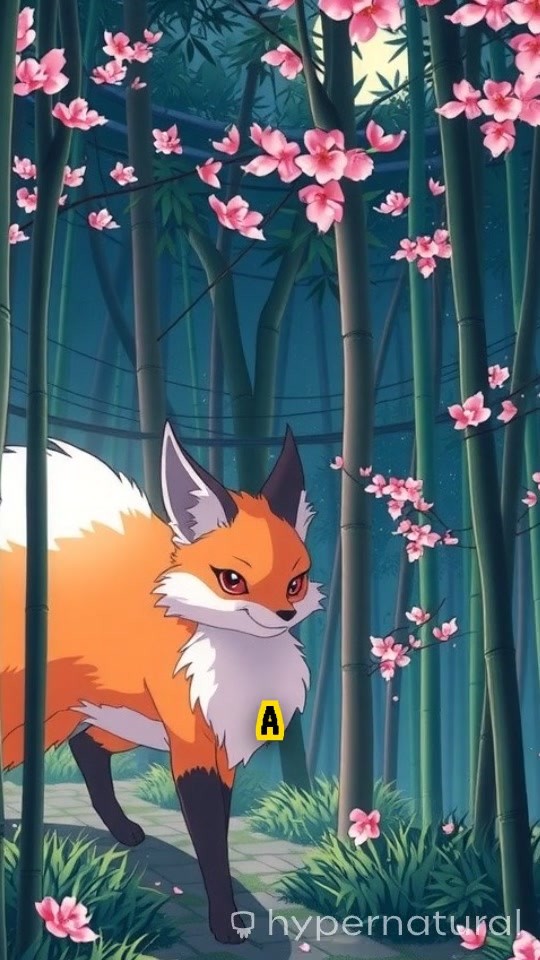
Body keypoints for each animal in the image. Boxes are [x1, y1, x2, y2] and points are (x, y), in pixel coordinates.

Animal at [0, 423, 322, 943]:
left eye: (296, 583)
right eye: (232, 580)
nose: (285, 615)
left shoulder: (219, 747)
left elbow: (218, 830)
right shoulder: (192, 747)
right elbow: (209, 839)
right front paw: (225, 924)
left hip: (109, 721)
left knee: (86, 746)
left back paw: (123, 830)